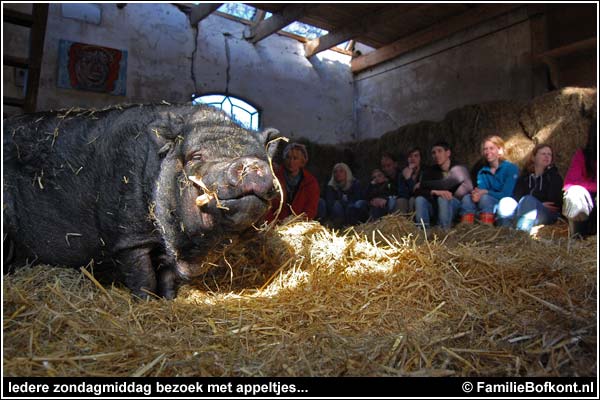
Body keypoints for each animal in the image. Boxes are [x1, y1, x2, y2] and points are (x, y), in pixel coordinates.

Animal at [3, 104, 280, 298]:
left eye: (261, 157)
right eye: (195, 156)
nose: (250, 164)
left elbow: (168, 278)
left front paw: (168, 300)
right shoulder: (127, 237)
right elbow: (143, 276)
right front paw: (145, 302)